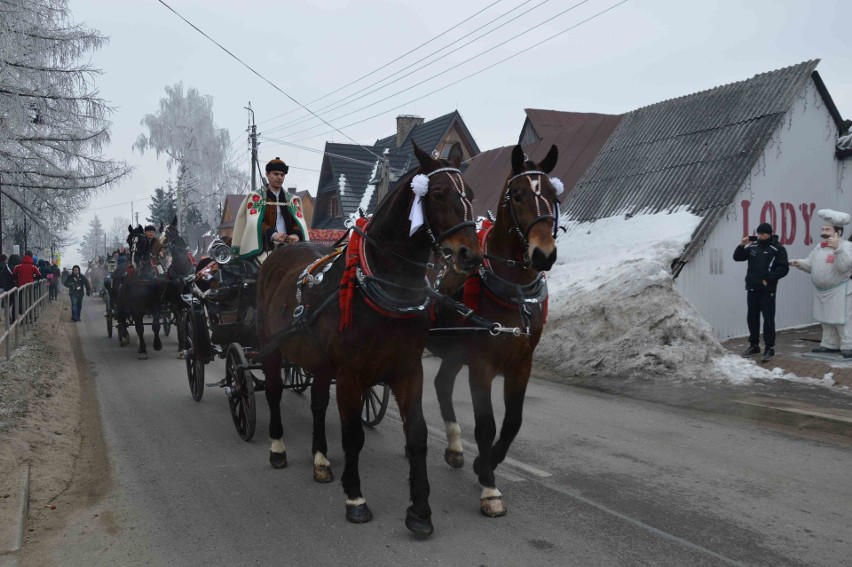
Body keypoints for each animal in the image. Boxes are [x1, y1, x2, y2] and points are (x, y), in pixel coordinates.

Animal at [117, 225, 169, 360]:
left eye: (142, 241)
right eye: (129, 241)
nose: (134, 263)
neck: (143, 277)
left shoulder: (155, 303)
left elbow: (155, 325)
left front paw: (157, 345)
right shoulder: (136, 306)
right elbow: (139, 328)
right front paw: (143, 350)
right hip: (122, 305)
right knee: (123, 321)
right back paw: (126, 338)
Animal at [253, 141, 482, 536]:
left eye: (468, 192)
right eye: (437, 193)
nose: (472, 255)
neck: (383, 289)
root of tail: (281, 251)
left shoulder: (408, 371)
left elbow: (417, 435)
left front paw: (420, 511)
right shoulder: (351, 375)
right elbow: (353, 437)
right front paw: (356, 500)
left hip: (319, 362)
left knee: (317, 403)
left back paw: (320, 460)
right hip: (274, 349)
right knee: (273, 392)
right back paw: (278, 448)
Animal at [426, 145, 560, 520]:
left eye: (553, 195)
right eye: (518, 195)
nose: (544, 254)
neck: (512, 290)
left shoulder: (521, 365)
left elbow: (512, 422)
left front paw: (483, 464)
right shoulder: (482, 366)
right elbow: (485, 424)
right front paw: (489, 486)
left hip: (455, 352)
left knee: (442, 384)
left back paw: (455, 448)